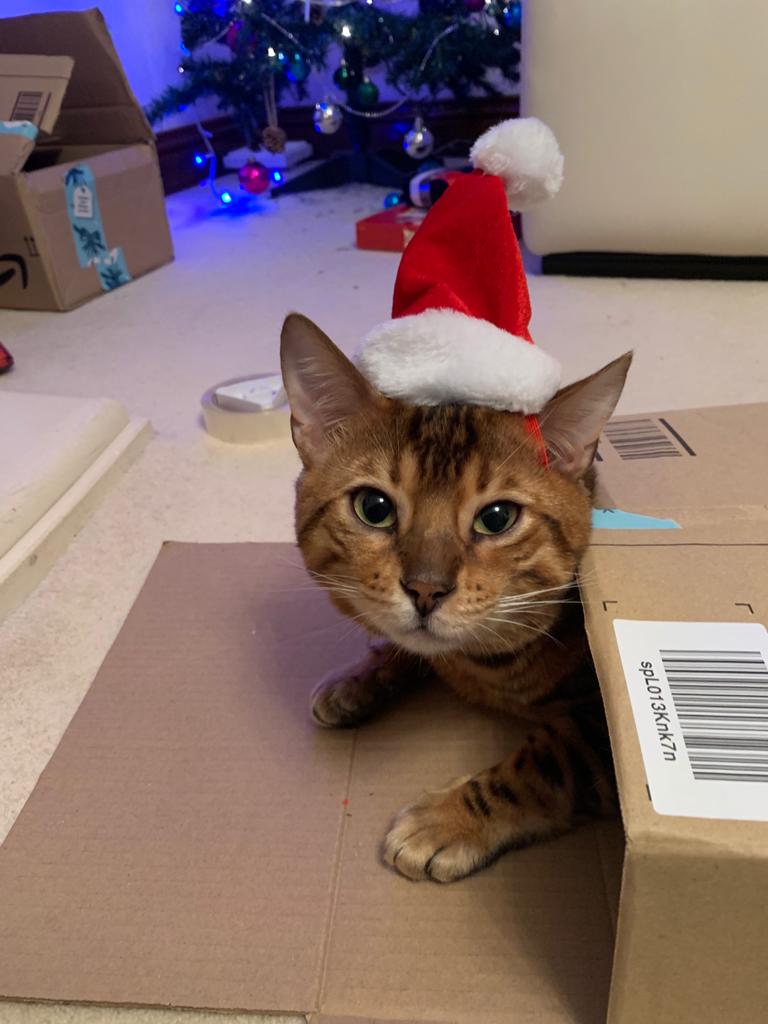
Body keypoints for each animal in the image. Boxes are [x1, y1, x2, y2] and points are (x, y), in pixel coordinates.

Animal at [280, 311, 631, 883]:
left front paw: (446, 821)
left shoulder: (602, 729)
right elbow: (404, 646)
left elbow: (549, 757)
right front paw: (358, 679)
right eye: (374, 507)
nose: (426, 589)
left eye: (497, 518)